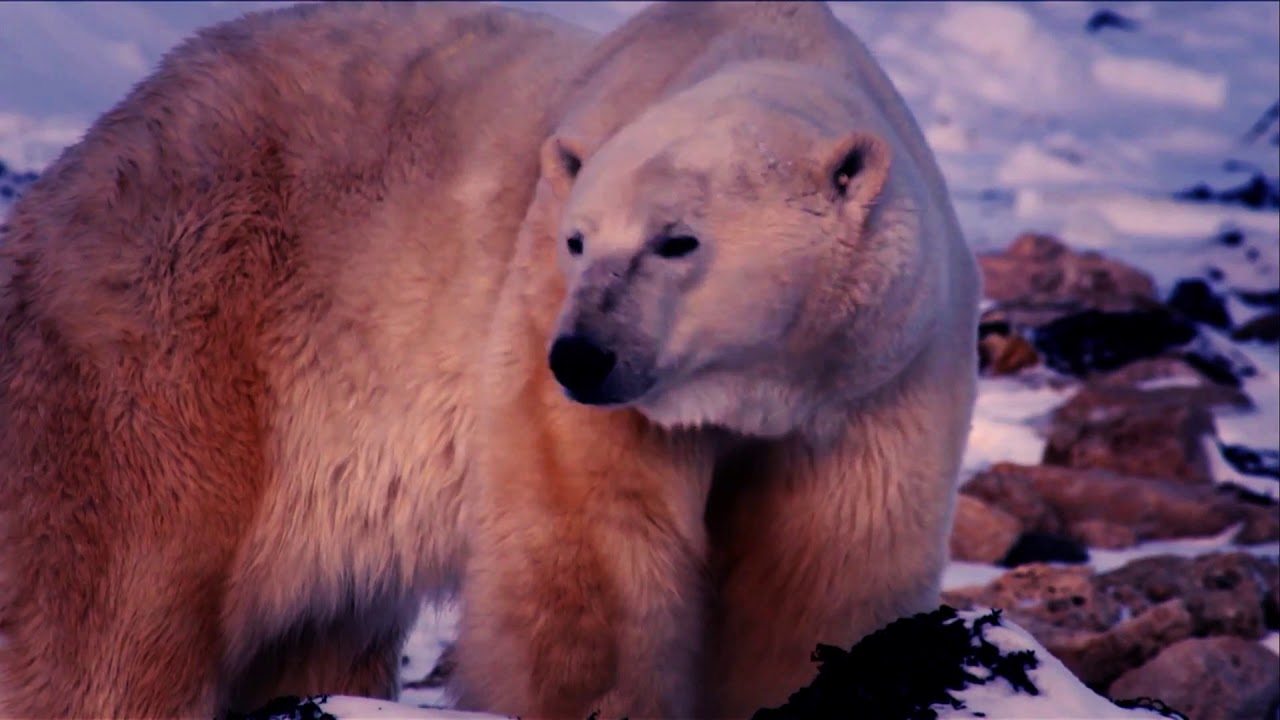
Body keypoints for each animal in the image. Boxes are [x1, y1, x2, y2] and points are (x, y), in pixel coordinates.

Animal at [0, 2, 979, 719]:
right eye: (578, 239)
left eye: (678, 240)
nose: (581, 356)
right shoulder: (544, 328)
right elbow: (588, 565)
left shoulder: (877, 380)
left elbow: (825, 580)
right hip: (176, 335)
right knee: (109, 619)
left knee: (318, 621)